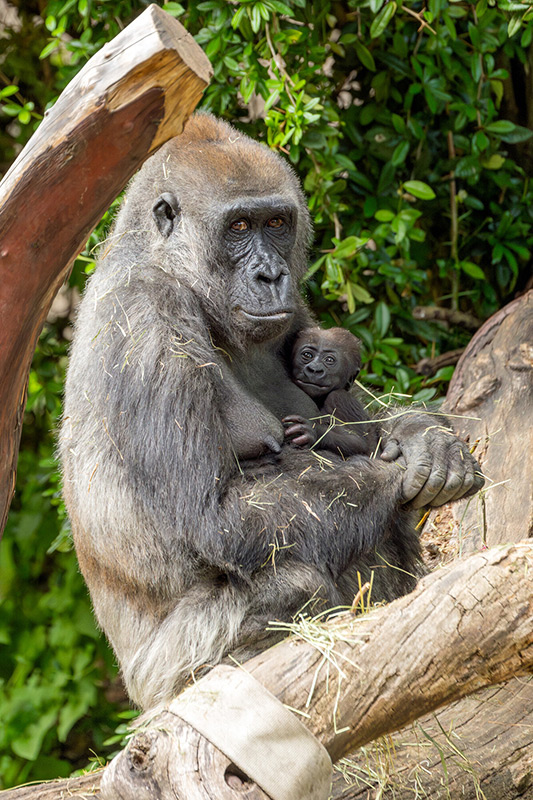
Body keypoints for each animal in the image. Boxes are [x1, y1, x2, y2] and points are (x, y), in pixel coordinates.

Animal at [284, 326, 380, 457]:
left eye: (329, 360)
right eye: (307, 355)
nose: (314, 369)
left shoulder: (340, 399)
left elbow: (358, 442)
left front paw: (314, 433)